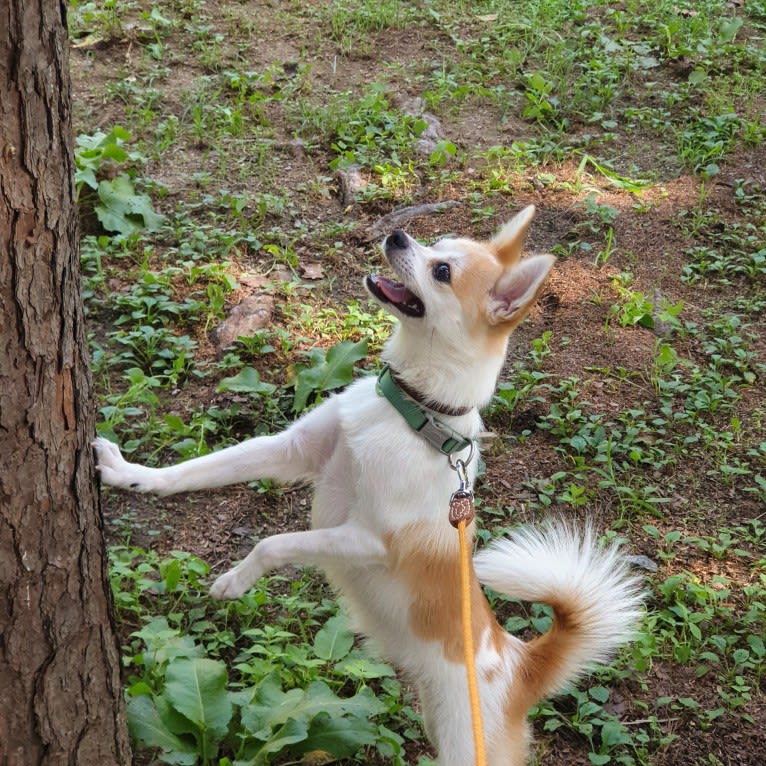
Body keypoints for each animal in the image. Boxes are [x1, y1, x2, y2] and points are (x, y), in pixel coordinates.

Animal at [97, 207, 648, 764]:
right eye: (436, 242)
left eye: (442, 271)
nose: (398, 234)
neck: (413, 411)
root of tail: (522, 664)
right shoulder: (293, 451)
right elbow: (199, 468)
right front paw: (134, 475)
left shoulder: (367, 539)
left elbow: (274, 543)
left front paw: (235, 580)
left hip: (464, 744)